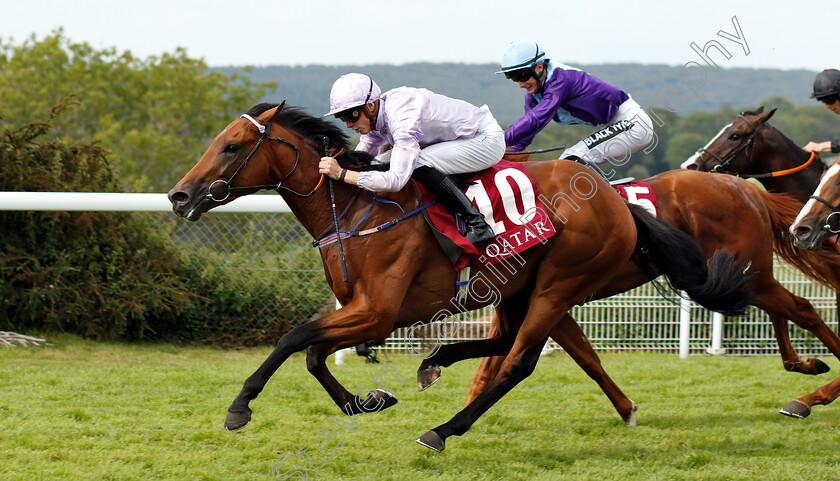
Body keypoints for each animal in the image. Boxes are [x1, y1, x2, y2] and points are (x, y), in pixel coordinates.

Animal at [167, 101, 752, 450]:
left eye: (232, 146)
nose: (179, 195)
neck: (354, 206)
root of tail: (614, 200)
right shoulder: (362, 312)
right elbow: (312, 352)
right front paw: (366, 401)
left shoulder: (378, 311)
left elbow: (294, 339)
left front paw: (239, 408)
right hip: (521, 286)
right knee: (508, 343)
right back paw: (437, 362)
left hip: (560, 283)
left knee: (518, 362)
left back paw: (443, 430)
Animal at [466, 169, 840, 420]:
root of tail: (747, 187)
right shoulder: (541, 300)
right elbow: (504, 363)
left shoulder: (552, 295)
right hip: (748, 275)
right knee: (786, 309)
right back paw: (803, 365)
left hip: (748, 273)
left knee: (802, 308)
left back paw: (809, 388)